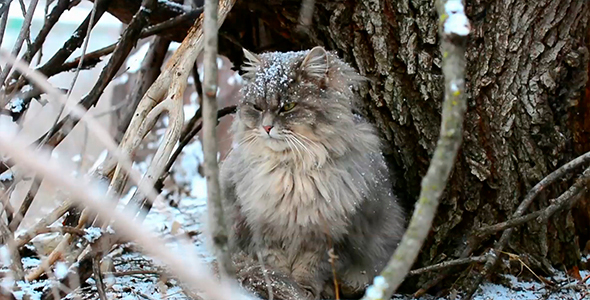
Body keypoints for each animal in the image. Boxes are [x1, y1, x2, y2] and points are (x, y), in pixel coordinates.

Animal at [220, 45, 410, 298]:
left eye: (288, 107)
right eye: (257, 107)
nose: (267, 127)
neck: (290, 171)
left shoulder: (324, 236)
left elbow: (310, 269)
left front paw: (303, 289)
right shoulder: (265, 231)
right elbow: (276, 267)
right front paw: (283, 287)